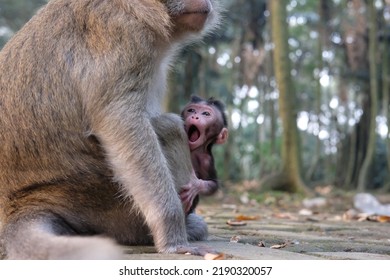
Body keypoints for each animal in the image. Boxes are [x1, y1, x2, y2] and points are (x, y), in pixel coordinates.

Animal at [0, 0, 219, 260]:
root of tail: (24, 204)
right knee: (170, 127)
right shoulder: (126, 36)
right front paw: (173, 236)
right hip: (112, 210)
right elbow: (122, 119)